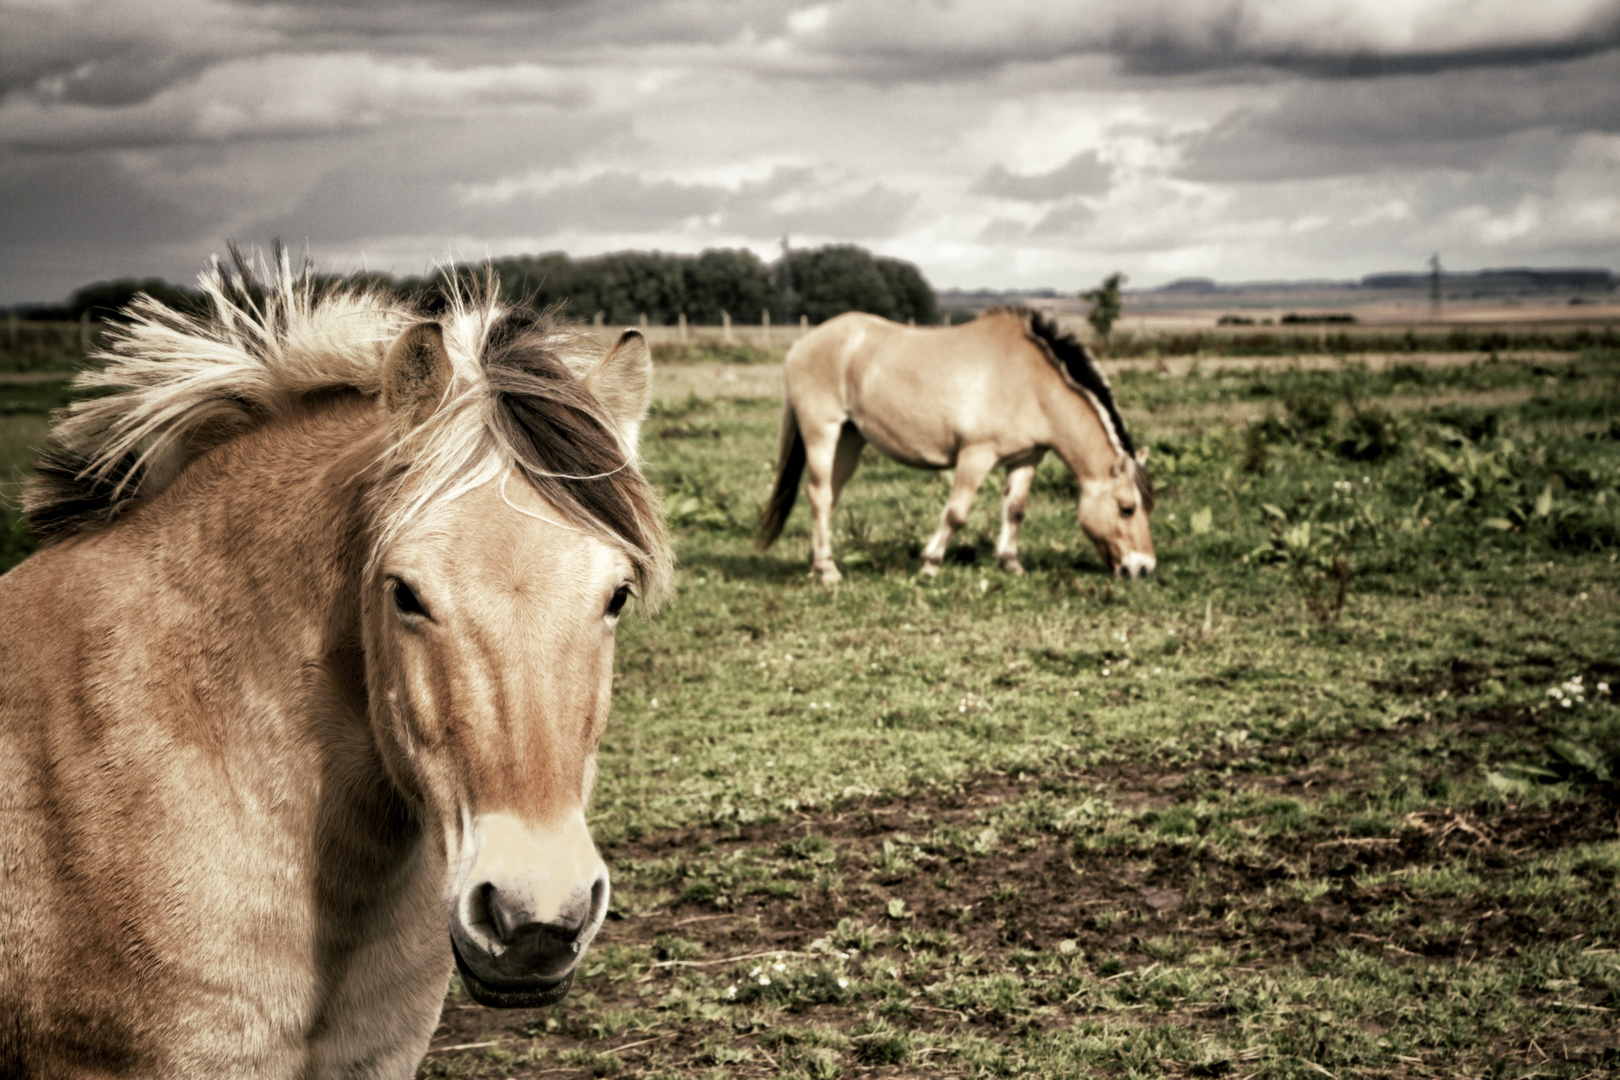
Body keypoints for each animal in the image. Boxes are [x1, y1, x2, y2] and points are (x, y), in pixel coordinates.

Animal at [758, 306, 1153, 582]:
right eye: (1127, 508)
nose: (1144, 568)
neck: (1031, 383)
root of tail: (801, 345)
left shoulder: (1026, 459)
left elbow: (1015, 510)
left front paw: (1010, 564)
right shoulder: (976, 455)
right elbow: (956, 513)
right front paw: (930, 564)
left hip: (850, 439)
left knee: (829, 497)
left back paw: (817, 564)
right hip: (821, 433)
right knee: (819, 494)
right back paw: (828, 572)